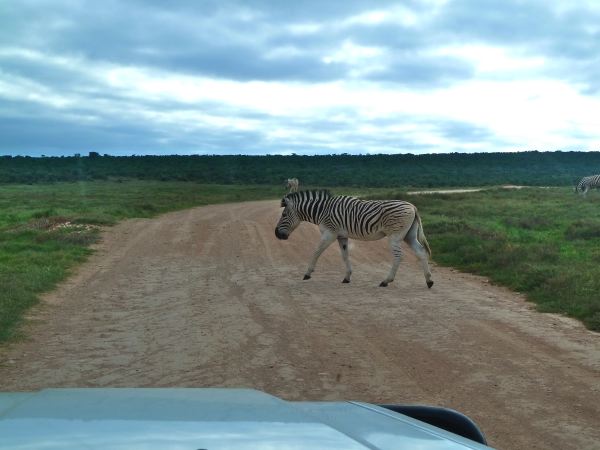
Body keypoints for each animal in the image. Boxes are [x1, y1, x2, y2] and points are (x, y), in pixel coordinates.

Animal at [274, 189, 434, 288]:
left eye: (283, 215)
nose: (276, 234)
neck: (322, 211)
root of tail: (413, 206)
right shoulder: (342, 236)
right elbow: (345, 255)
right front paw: (347, 277)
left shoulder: (329, 233)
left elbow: (316, 251)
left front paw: (307, 273)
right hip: (409, 235)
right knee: (421, 252)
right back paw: (429, 281)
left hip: (395, 235)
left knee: (399, 256)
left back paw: (386, 281)